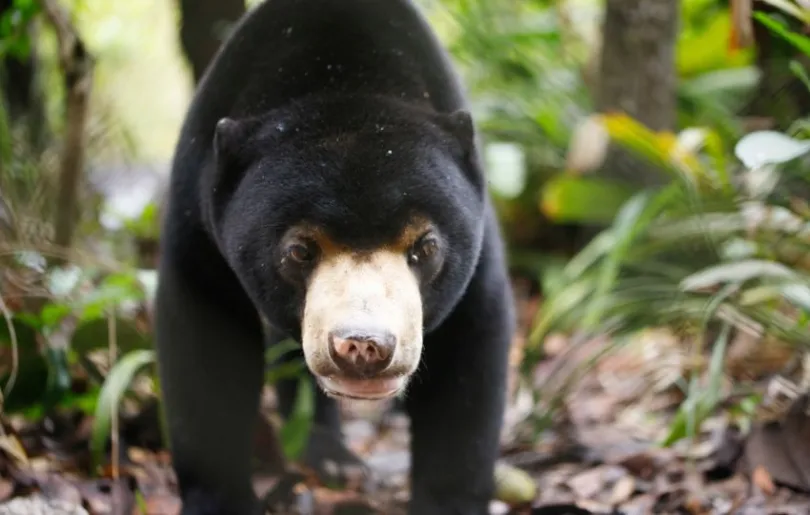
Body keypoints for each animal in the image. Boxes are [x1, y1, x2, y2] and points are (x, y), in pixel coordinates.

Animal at [154, 0, 516, 512]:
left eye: (425, 246)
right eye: (300, 249)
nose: (363, 346)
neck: (341, 74)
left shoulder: (477, 236)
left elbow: (469, 348)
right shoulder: (195, 208)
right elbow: (204, 339)